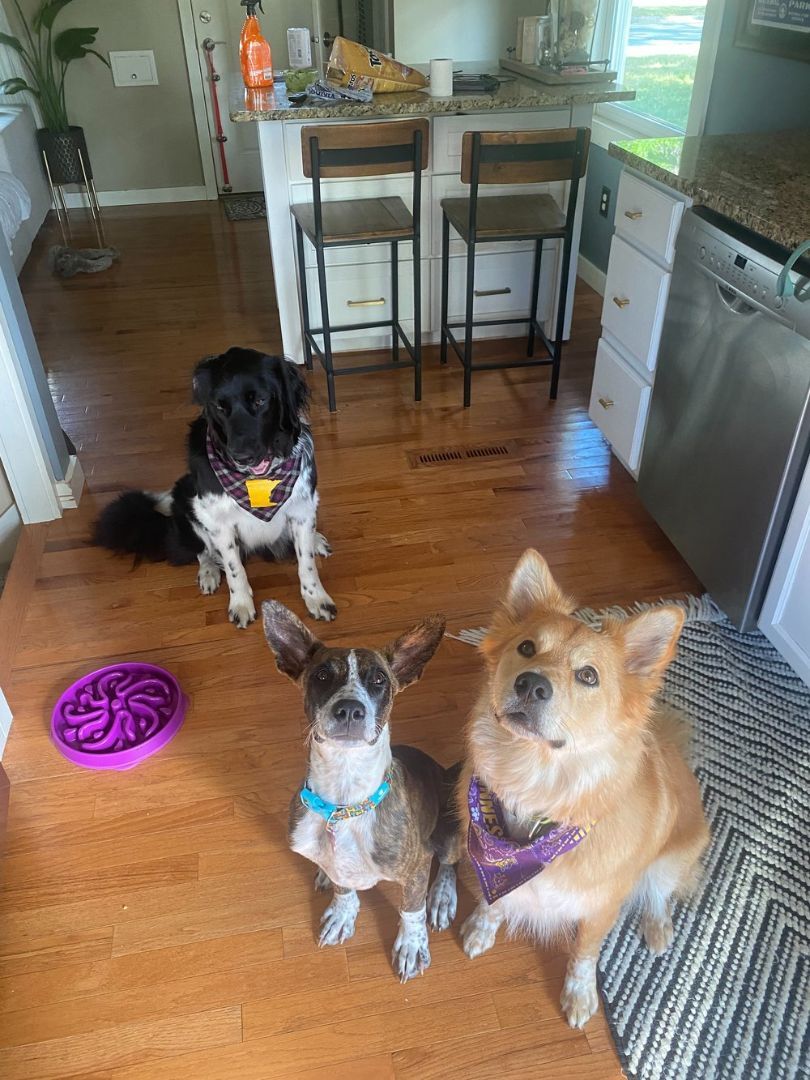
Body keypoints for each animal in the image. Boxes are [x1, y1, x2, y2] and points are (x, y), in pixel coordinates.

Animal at [95, 347, 336, 627]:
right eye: (220, 406)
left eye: (260, 400)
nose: (241, 456)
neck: (256, 481)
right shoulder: (218, 522)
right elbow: (234, 569)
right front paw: (241, 604)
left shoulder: (302, 508)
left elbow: (306, 562)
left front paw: (316, 598)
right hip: (183, 499)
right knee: (201, 550)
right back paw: (208, 571)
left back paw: (316, 539)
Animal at [261, 600, 460, 981]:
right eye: (322, 676)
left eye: (379, 680)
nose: (350, 710)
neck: (344, 800)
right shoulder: (336, 861)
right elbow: (343, 886)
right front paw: (342, 911)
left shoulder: (416, 868)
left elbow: (412, 909)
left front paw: (411, 945)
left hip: (450, 832)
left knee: (451, 863)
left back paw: (442, 897)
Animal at [457, 549, 709, 1028]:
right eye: (526, 648)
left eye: (588, 676)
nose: (531, 684)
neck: (536, 786)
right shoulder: (492, 870)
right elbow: (492, 902)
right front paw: (482, 927)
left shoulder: (600, 908)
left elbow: (584, 954)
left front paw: (579, 994)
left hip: (674, 854)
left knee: (659, 893)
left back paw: (658, 926)